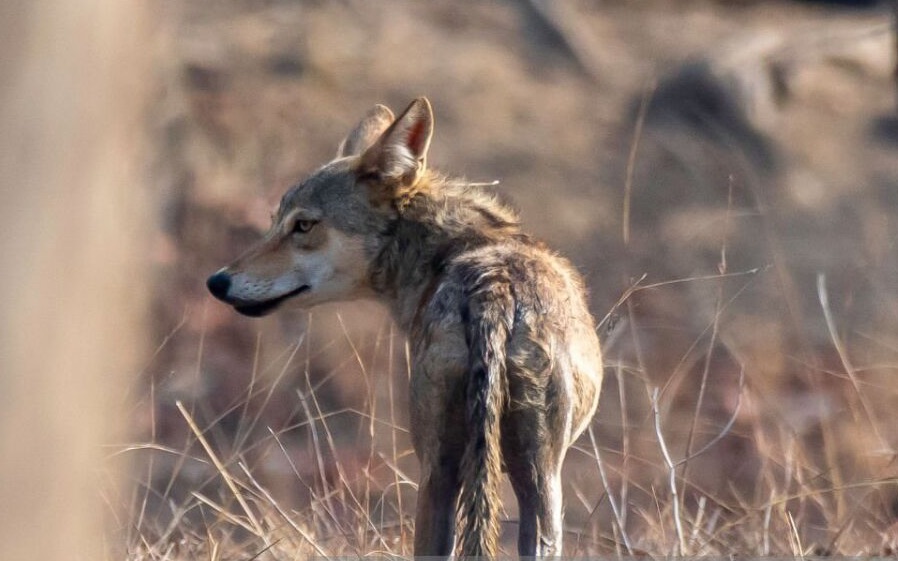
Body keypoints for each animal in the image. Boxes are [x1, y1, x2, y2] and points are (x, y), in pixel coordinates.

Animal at [206, 97, 600, 556]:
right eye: (275, 222)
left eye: (302, 225)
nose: (216, 282)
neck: (446, 251)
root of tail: (493, 291)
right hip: (499, 478)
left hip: (487, 475)